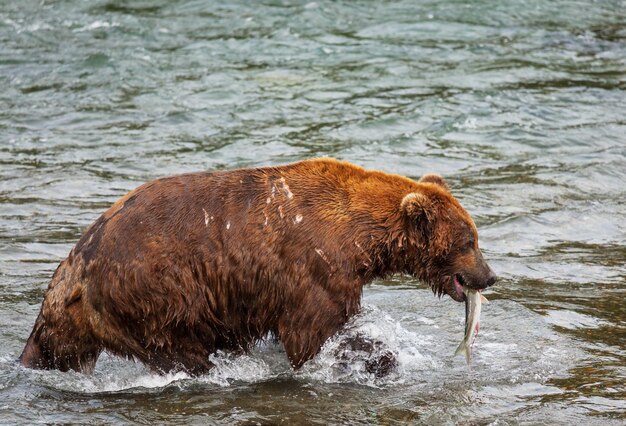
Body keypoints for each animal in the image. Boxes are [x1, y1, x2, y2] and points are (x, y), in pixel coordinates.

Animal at [19, 158, 494, 374]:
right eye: (469, 242)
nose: (489, 277)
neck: (360, 238)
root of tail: (76, 264)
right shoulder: (313, 266)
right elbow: (315, 332)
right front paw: (379, 358)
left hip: (83, 318)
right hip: (154, 290)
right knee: (180, 347)